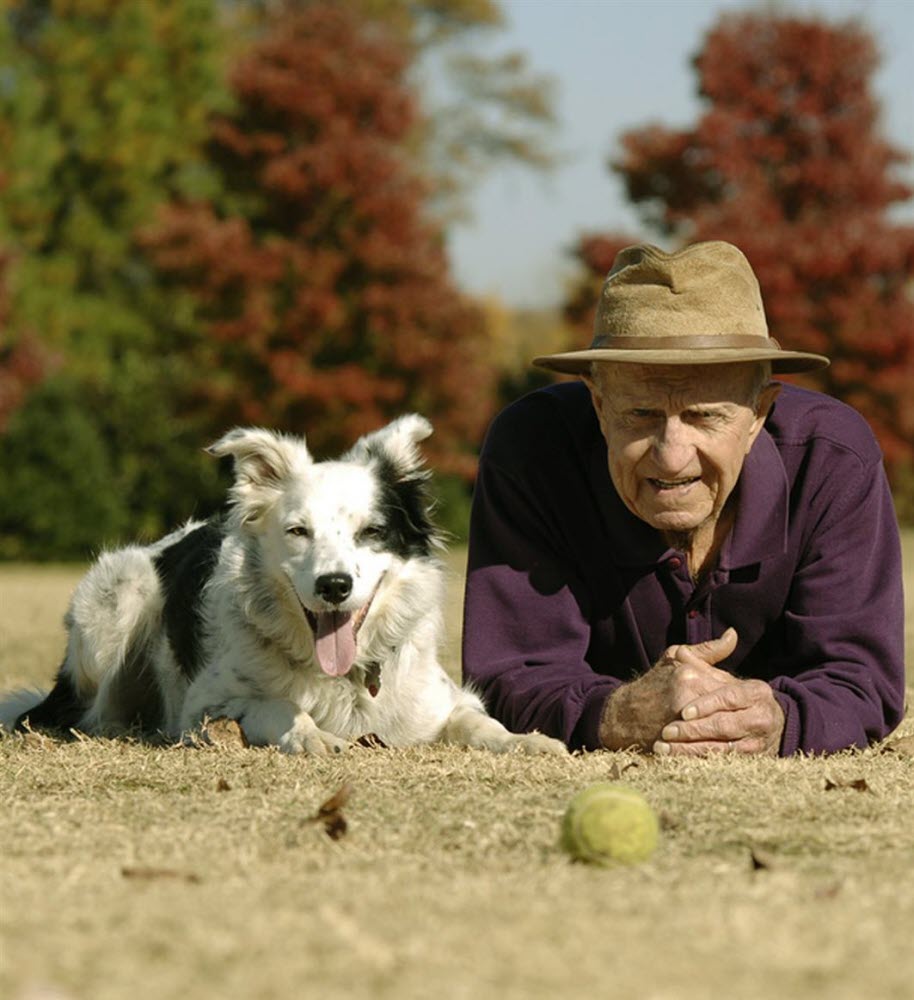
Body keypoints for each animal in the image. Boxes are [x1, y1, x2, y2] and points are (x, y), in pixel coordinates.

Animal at [0, 418, 568, 752]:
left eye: (371, 532)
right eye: (298, 531)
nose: (334, 585)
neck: (343, 678)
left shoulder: (438, 702)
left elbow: (477, 722)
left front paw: (527, 741)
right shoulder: (204, 704)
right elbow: (275, 706)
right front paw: (315, 737)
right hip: (118, 599)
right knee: (90, 711)